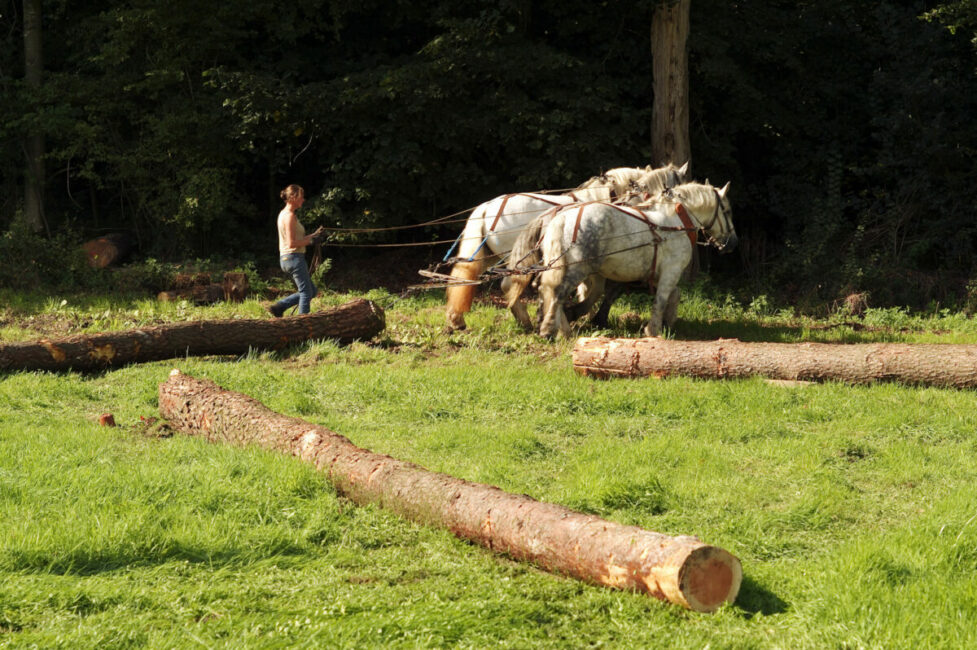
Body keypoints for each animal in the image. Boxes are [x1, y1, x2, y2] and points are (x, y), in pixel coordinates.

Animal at [442, 162, 688, 330]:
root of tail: (486, 207)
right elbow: (601, 290)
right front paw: (584, 315)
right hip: (513, 259)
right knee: (506, 285)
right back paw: (525, 320)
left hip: (489, 256)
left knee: (464, 278)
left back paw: (458, 320)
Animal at [528, 180, 736, 336]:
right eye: (727, 211)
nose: (732, 243)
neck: (676, 222)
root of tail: (562, 218)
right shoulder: (671, 272)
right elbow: (661, 299)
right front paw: (653, 330)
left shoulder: (660, 274)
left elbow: (674, 295)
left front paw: (667, 322)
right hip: (577, 269)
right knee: (557, 293)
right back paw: (552, 329)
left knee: (549, 290)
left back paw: (562, 328)